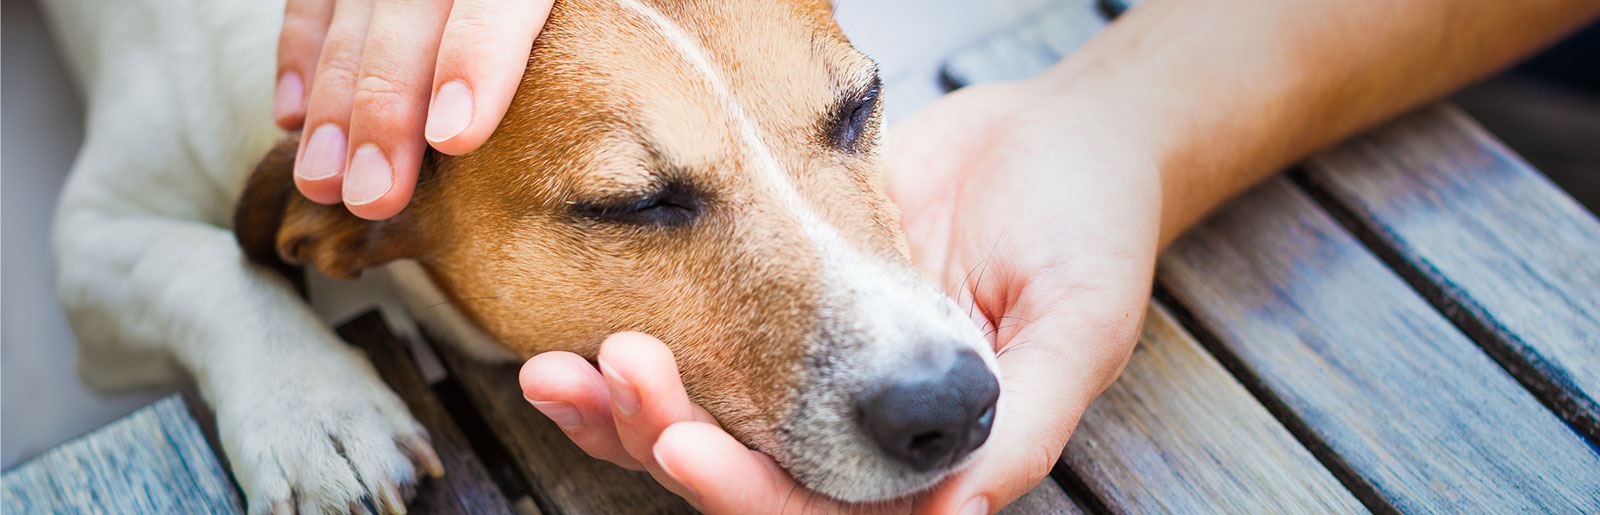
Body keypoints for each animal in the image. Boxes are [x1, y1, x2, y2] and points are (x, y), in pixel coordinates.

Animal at [43, 0, 998, 508]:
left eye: (860, 105)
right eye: (633, 205)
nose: (952, 402)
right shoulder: (88, 242)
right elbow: (205, 266)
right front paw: (312, 411)